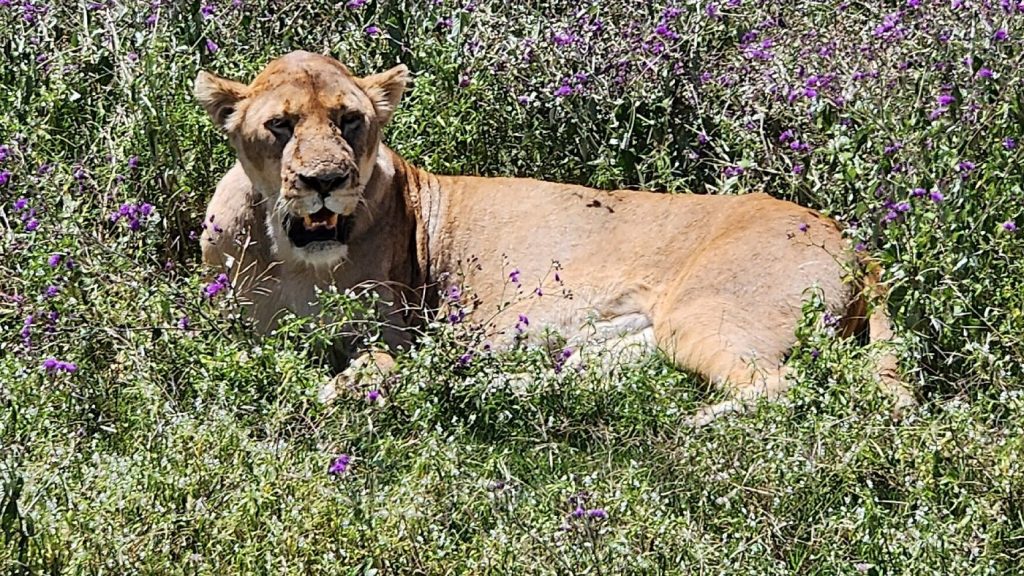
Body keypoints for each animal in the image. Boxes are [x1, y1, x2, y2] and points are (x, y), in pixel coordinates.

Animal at [195, 51, 914, 425]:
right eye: (281, 126)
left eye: (349, 120)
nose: (326, 181)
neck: (295, 255)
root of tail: (851, 237)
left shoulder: (394, 336)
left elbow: (365, 369)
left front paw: (323, 397)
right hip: (636, 345)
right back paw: (492, 389)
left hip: (700, 317)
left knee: (785, 392)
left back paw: (692, 425)